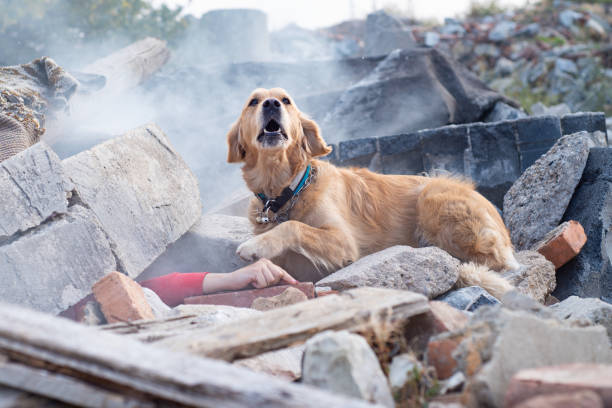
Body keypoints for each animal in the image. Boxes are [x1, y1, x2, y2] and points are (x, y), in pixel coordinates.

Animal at [227, 87, 520, 298]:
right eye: (253, 101)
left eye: (286, 100)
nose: (271, 104)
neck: (286, 191)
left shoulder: (344, 242)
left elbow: (294, 227)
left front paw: (254, 246)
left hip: (433, 195)